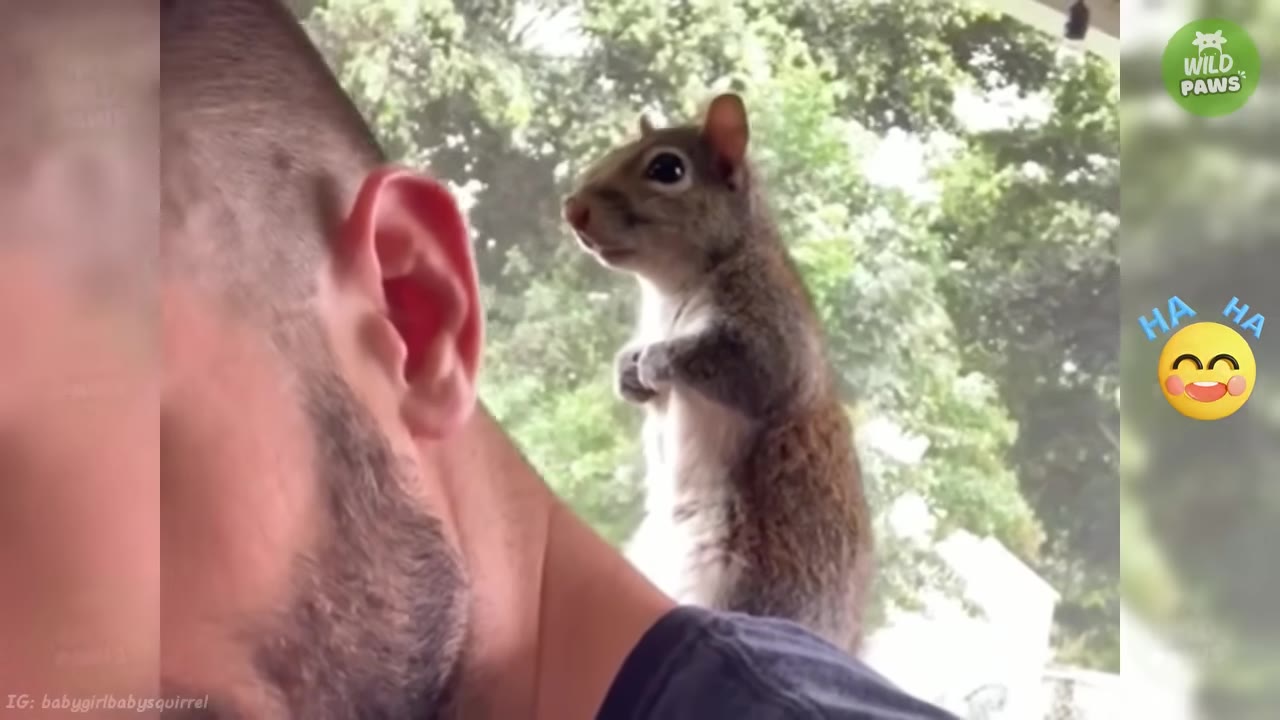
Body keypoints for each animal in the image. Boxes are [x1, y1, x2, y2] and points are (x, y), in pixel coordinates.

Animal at [561, 93, 874, 652]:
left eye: (667, 169)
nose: (573, 208)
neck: (672, 288)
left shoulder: (769, 330)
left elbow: (739, 368)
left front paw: (657, 361)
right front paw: (628, 374)